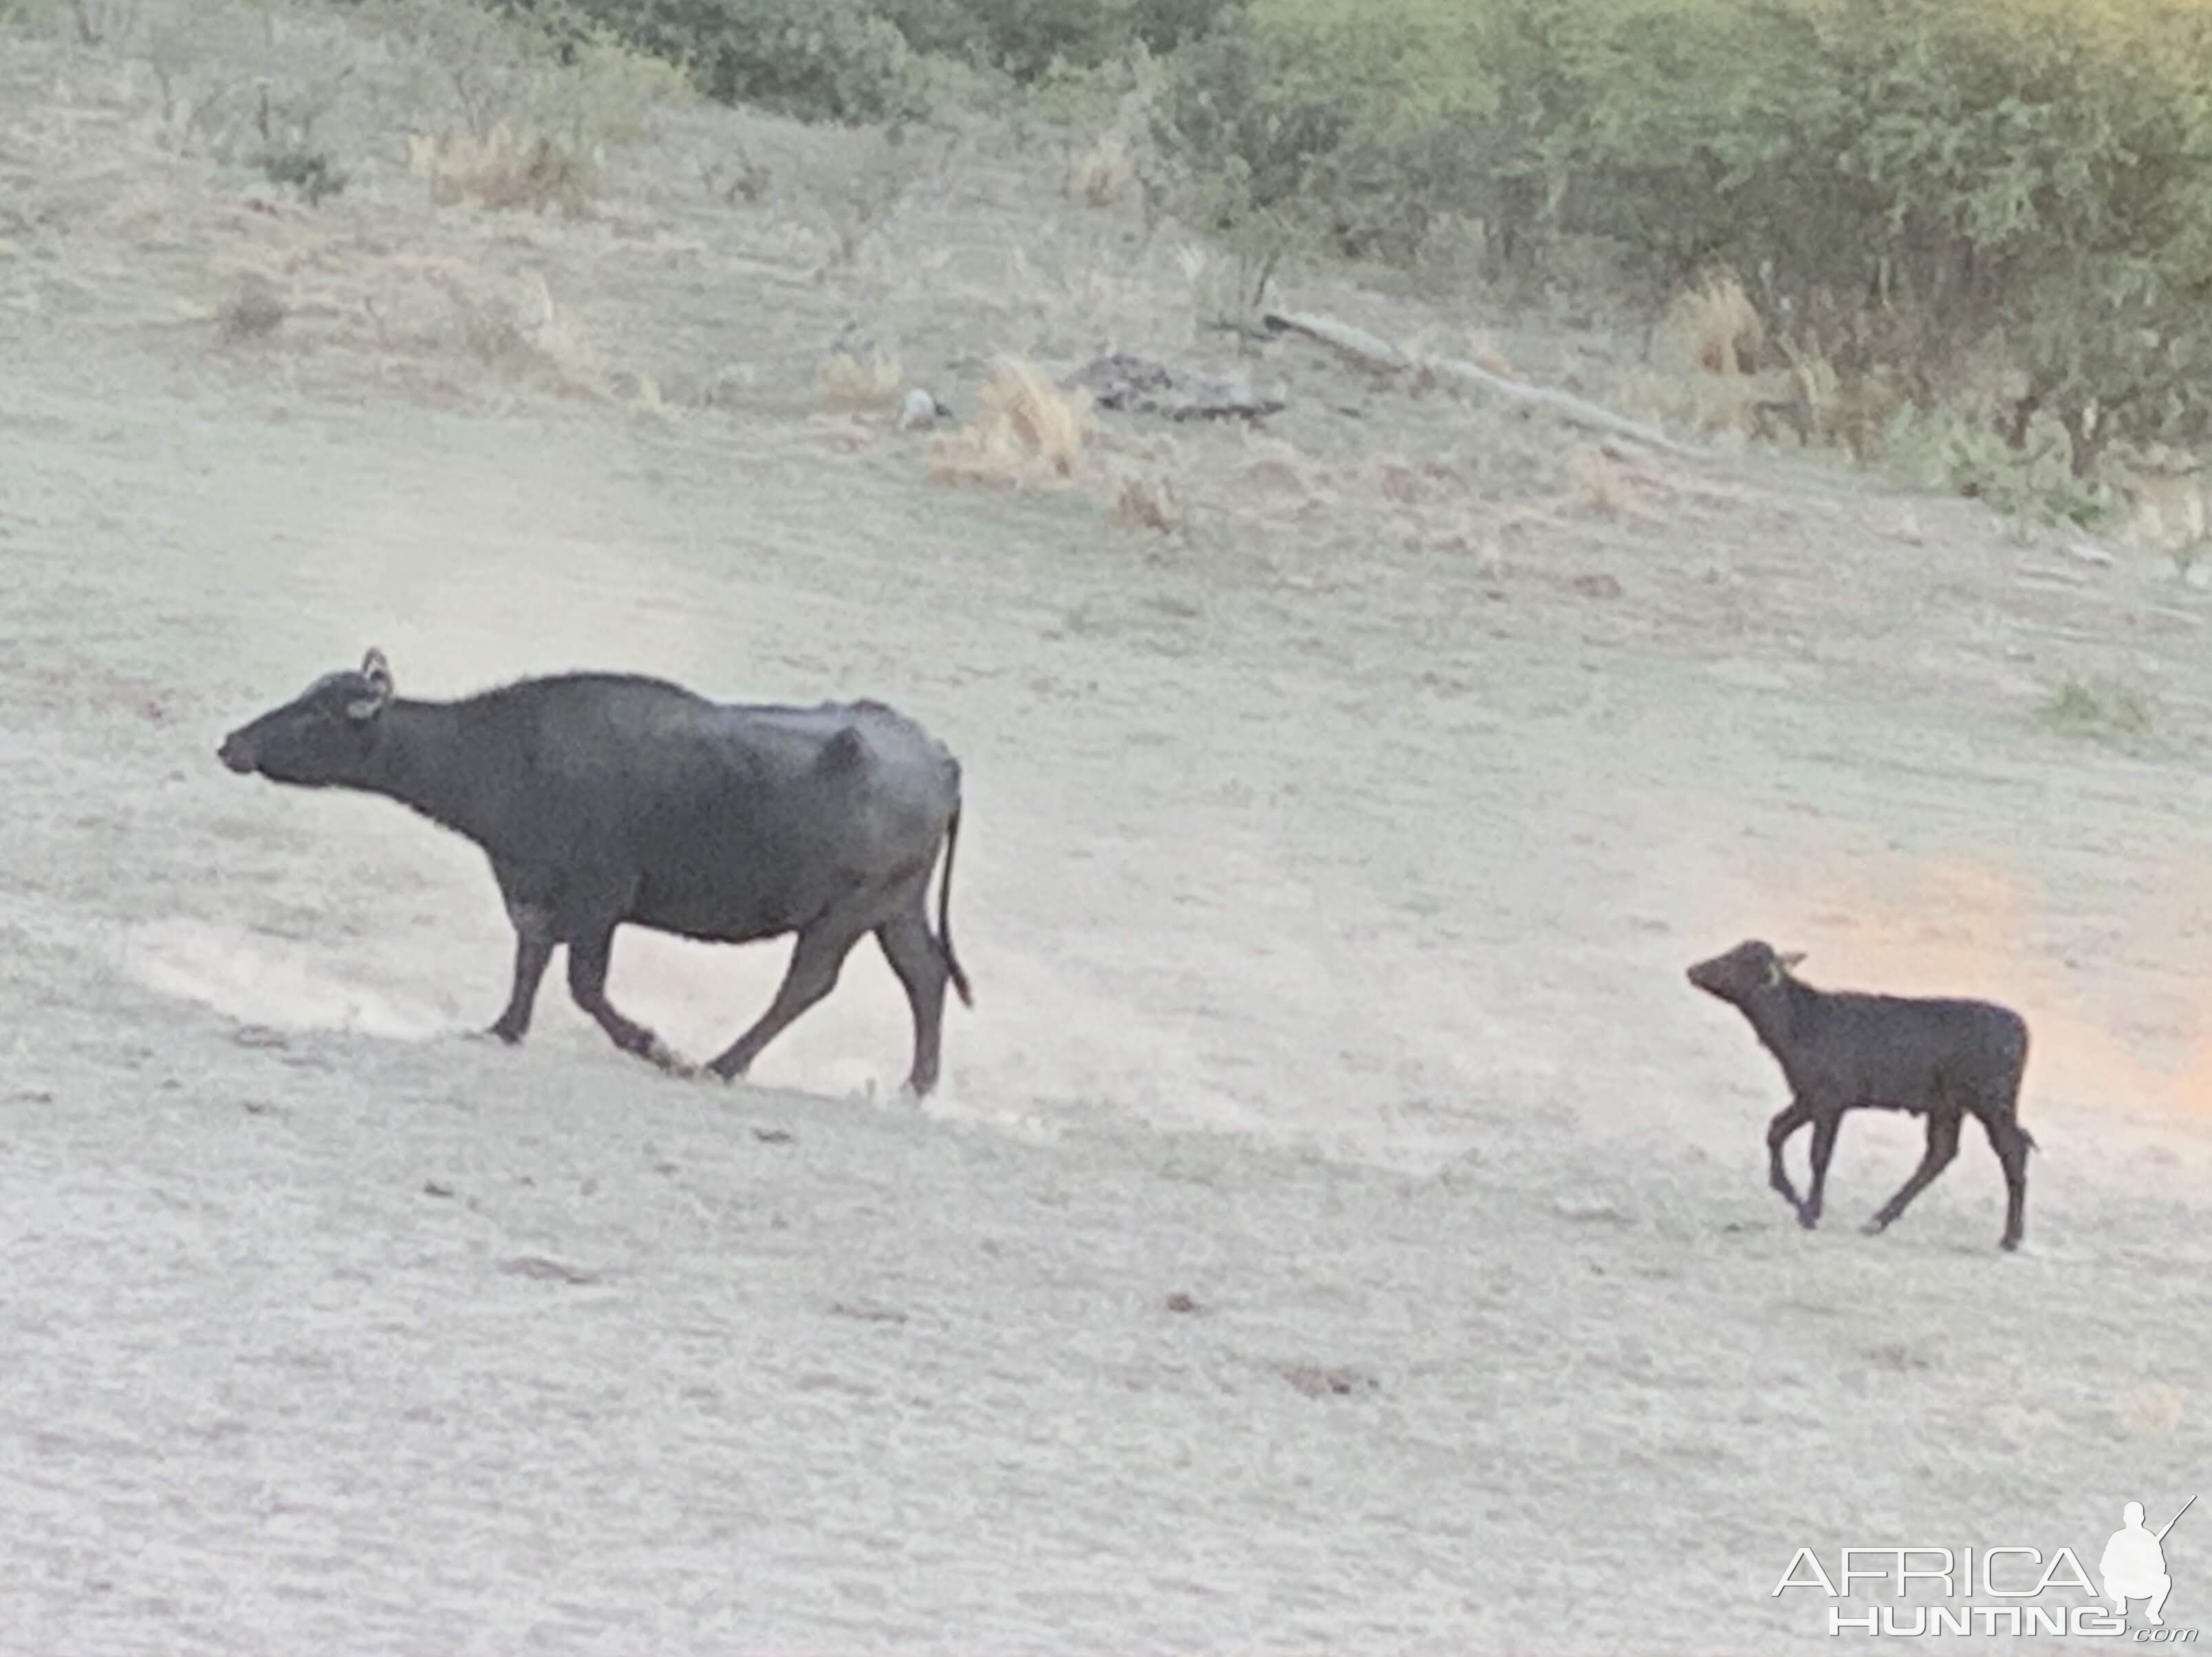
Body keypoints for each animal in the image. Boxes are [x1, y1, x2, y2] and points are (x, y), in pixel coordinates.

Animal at [219, 650, 973, 1097]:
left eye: (316, 713)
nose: (232, 743)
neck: (510, 754)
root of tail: (938, 756)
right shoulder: (531, 889)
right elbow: (529, 959)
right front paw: (503, 1029)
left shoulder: (600, 899)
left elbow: (584, 986)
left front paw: (651, 1044)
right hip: (895, 908)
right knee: (925, 975)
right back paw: (916, 1087)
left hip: (847, 911)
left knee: (809, 983)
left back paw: (716, 1065)